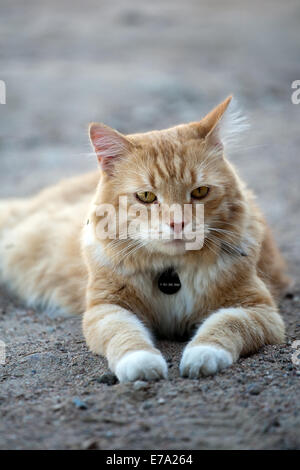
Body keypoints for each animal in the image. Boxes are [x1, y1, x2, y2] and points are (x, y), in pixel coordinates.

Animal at [0, 96, 290, 382]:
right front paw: (141, 362)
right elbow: (125, 334)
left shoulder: (259, 310)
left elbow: (225, 324)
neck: (172, 275)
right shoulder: (107, 309)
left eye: (200, 192)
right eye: (147, 197)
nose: (178, 223)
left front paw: (202, 354)